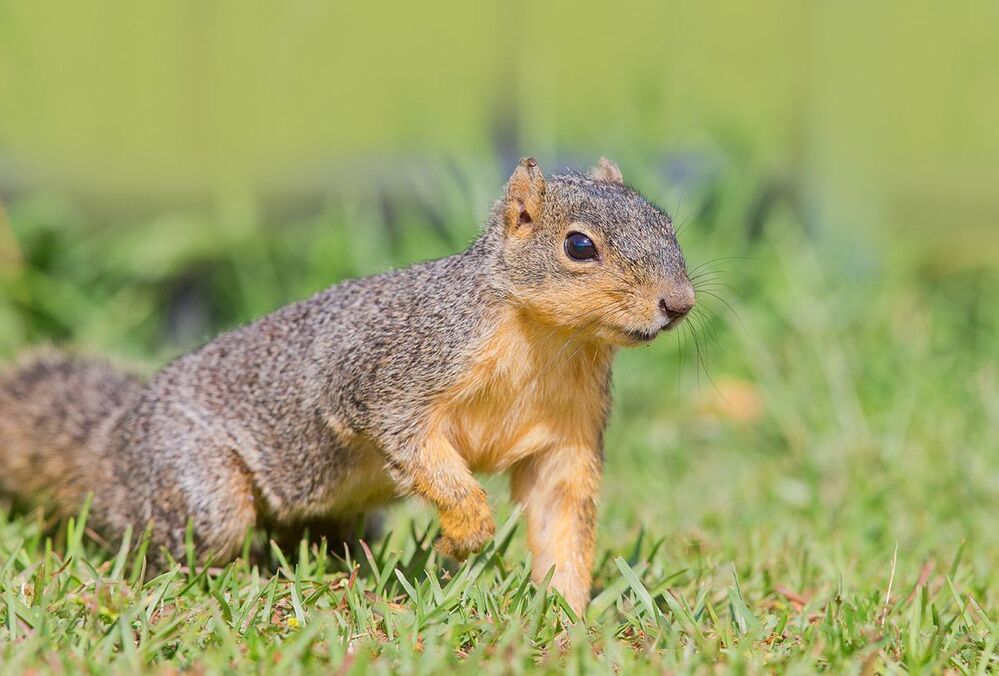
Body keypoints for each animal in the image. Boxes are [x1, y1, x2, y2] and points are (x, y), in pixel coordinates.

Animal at [0, 157, 694, 612]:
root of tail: (108, 440)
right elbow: (415, 446)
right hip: (190, 478)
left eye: (668, 226)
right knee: (173, 538)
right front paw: (466, 532)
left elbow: (561, 517)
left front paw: (567, 615)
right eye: (578, 246)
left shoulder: (567, 433)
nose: (679, 304)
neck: (550, 341)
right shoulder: (391, 374)